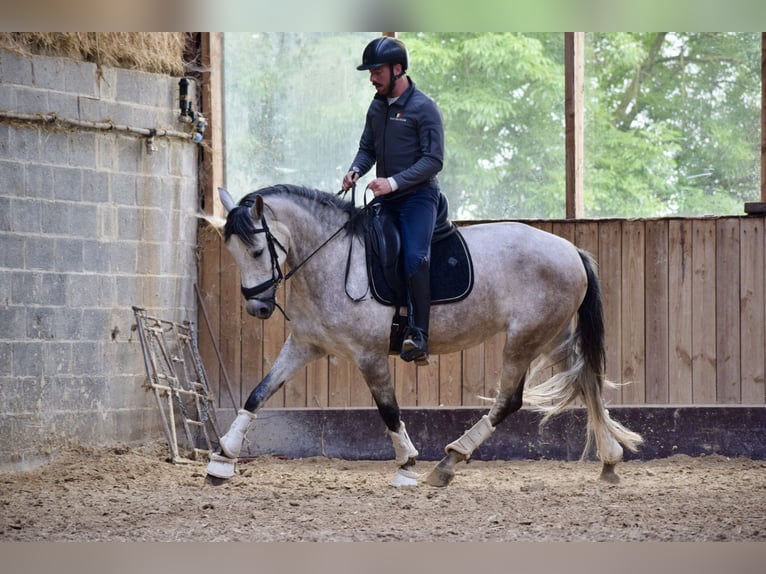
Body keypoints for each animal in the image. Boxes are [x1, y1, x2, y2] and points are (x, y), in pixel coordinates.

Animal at [204, 187, 640, 488]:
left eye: (258, 252)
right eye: (233, 254)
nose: (257, 308)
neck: (331, 259)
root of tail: (570, 249)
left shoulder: (369, 355)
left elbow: (389, 410)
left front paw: (408, 465)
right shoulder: (304, 345)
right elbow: (258, 394)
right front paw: (223, 459)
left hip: (525, 339)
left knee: (510, 400)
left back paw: (449, 462)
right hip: (552, 336)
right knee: (587, 383)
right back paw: (609, 460)